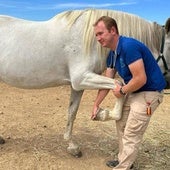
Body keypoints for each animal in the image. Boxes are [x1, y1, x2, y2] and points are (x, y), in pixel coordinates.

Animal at [0, 8, 170, 157]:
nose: (166, 84)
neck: (91, 39)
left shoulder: (78, 86)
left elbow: (72, 112)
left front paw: (72, 146)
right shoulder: (81, 78)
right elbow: (119, 87)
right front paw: (104, 114)